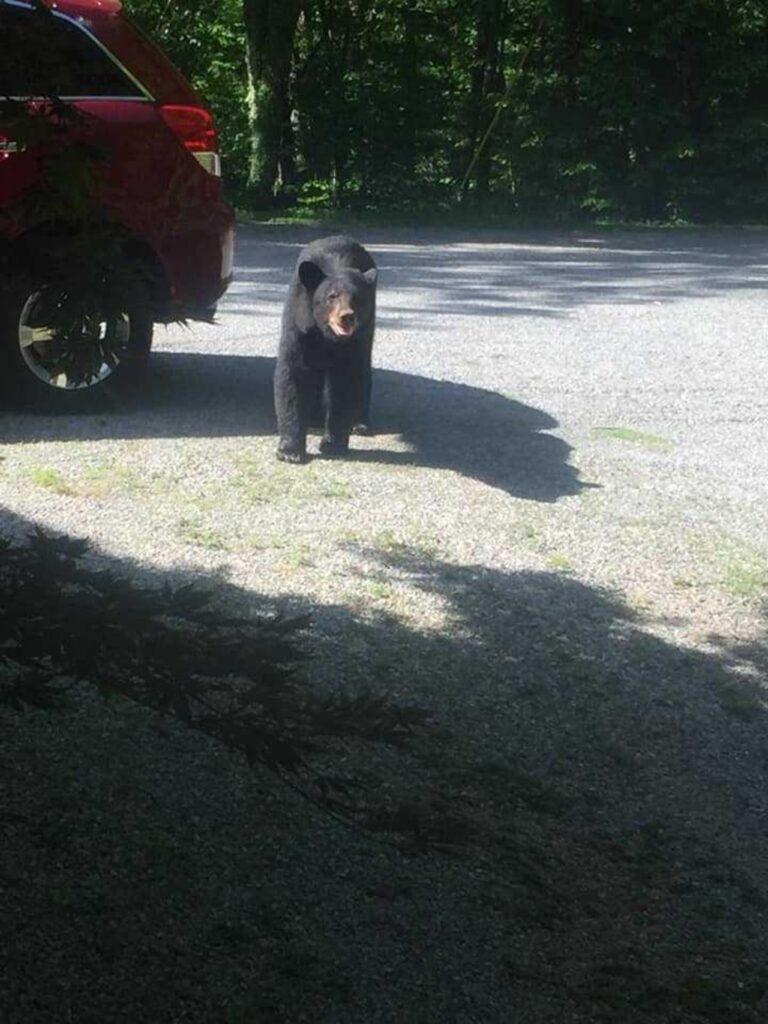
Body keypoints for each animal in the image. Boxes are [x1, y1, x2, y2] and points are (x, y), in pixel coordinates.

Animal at [274, 234, 378, 462]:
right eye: (332, 296)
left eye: (357, 298)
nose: (347, 316)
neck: (327, 335)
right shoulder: (298, 323)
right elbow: (293, 374)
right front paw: (289, 450)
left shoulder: (353, 342)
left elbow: (345, 381)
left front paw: (333, 444)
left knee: (363, 371)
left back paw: (360, 423)